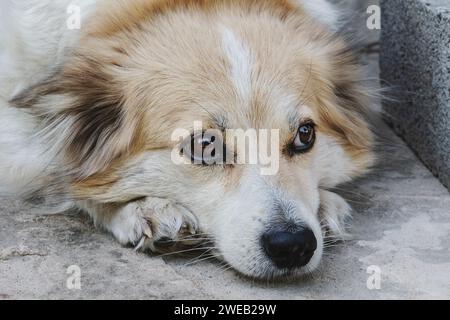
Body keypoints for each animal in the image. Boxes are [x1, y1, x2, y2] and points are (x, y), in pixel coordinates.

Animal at [0, 0, 374, 278]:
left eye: (305, 135)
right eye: (205, 146)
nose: (293, 245)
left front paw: (324, 203)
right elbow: (59, 168)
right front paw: (143, 207)